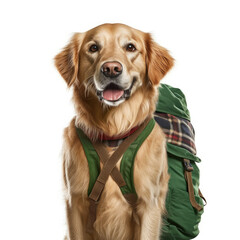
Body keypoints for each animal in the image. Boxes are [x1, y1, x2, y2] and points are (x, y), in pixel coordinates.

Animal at [55, 23, 173, 240]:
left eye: (130, 47)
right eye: (93, 48)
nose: (111, 69)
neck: (113, 133)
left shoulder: (149, 204)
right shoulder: (74, 202)